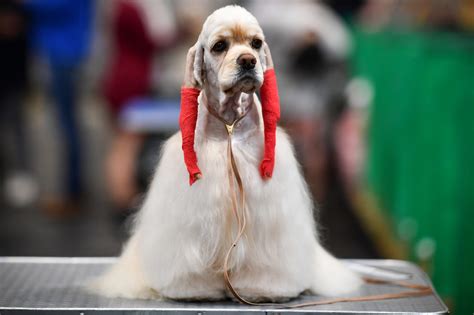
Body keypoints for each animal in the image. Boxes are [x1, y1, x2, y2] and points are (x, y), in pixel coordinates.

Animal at [90, 4, 362, 302]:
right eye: (220, 46)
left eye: (256, 43)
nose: (248, 61)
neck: (230, 123)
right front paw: (194, 289)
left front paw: (263, 289)